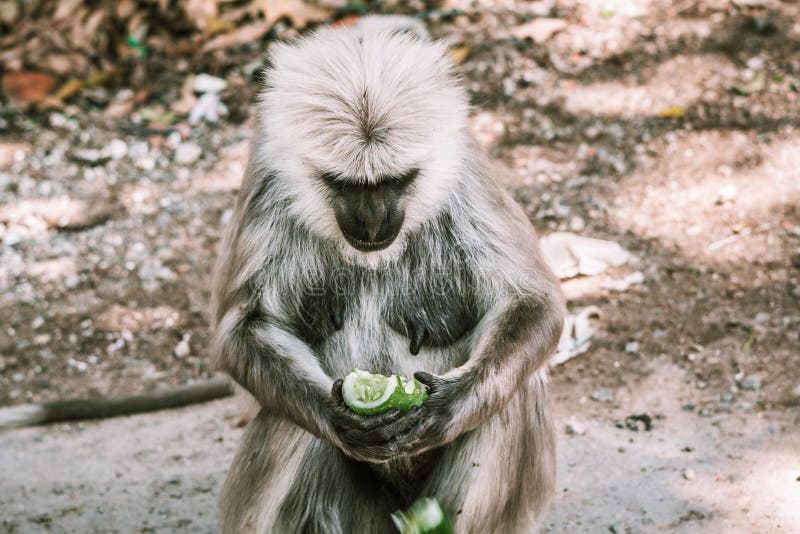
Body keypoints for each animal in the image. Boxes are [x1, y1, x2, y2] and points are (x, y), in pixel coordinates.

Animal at [209, 25, 564, 534]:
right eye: (345, 184)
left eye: (397, 180)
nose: (374, 222)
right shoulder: (265, 178)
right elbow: (242, 330)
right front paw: (336, 417)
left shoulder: (466, 172)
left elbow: (534, 305)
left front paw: (447, 408)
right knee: (292, 424)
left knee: (513, 396)